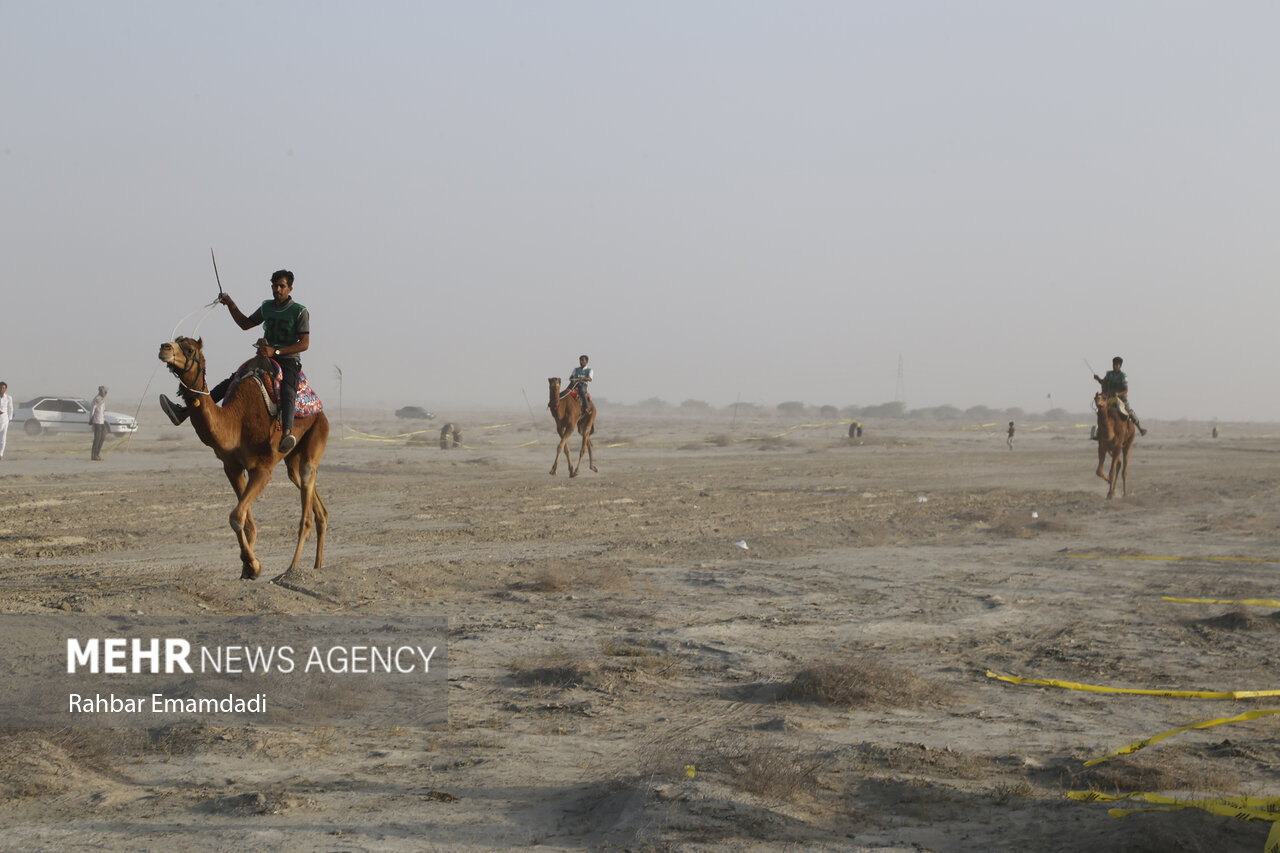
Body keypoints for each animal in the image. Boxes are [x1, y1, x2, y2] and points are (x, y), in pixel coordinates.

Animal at [158, 335, 330, 573]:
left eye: (190, 349)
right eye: (176, 340)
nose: (164, 348)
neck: (236, 422)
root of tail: (319, 408)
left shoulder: (263, 469)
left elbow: (236, 517)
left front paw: (253, 565)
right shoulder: (232, 467)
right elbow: (245, 522)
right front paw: (247, 568)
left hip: (318, 431)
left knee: (307, 489)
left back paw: (290, 569)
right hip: (293, 456)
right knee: (312, 499)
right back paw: (317, 565)